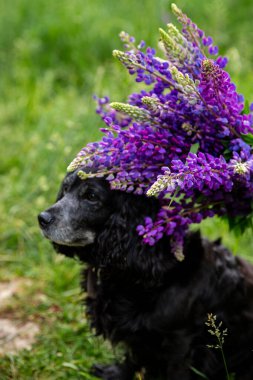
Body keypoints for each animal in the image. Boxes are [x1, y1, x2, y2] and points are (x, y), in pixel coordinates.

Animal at [38, 170, 253, 380]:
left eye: (91, 196)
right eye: (66, 188)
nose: (42, 218)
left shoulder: (181, 341)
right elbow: (132, 357)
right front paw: (116, 374)